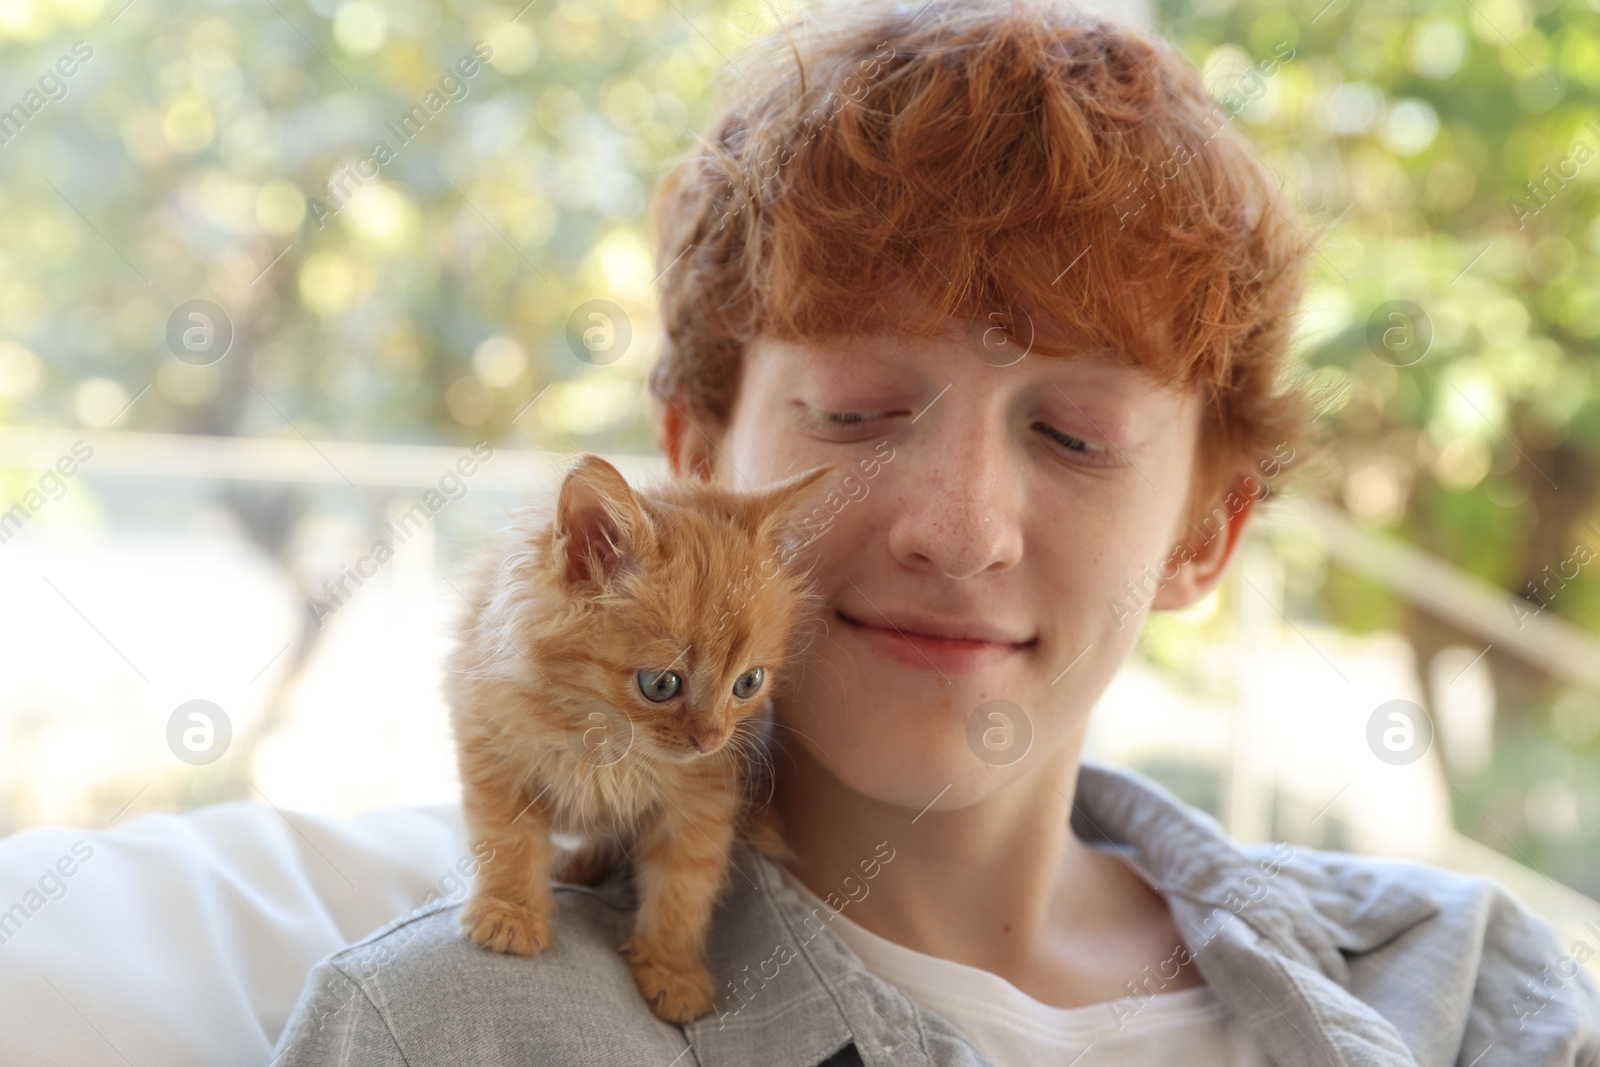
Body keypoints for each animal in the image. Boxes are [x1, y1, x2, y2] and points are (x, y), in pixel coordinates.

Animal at [444, 454, 832, 1023]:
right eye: (661, 685)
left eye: (748, 683)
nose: (711, 739)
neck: (605, 739)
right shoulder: (493, 749)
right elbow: (506, 839)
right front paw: (510, 912)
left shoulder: (702, 803)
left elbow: (683, 889)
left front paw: (672, 970)